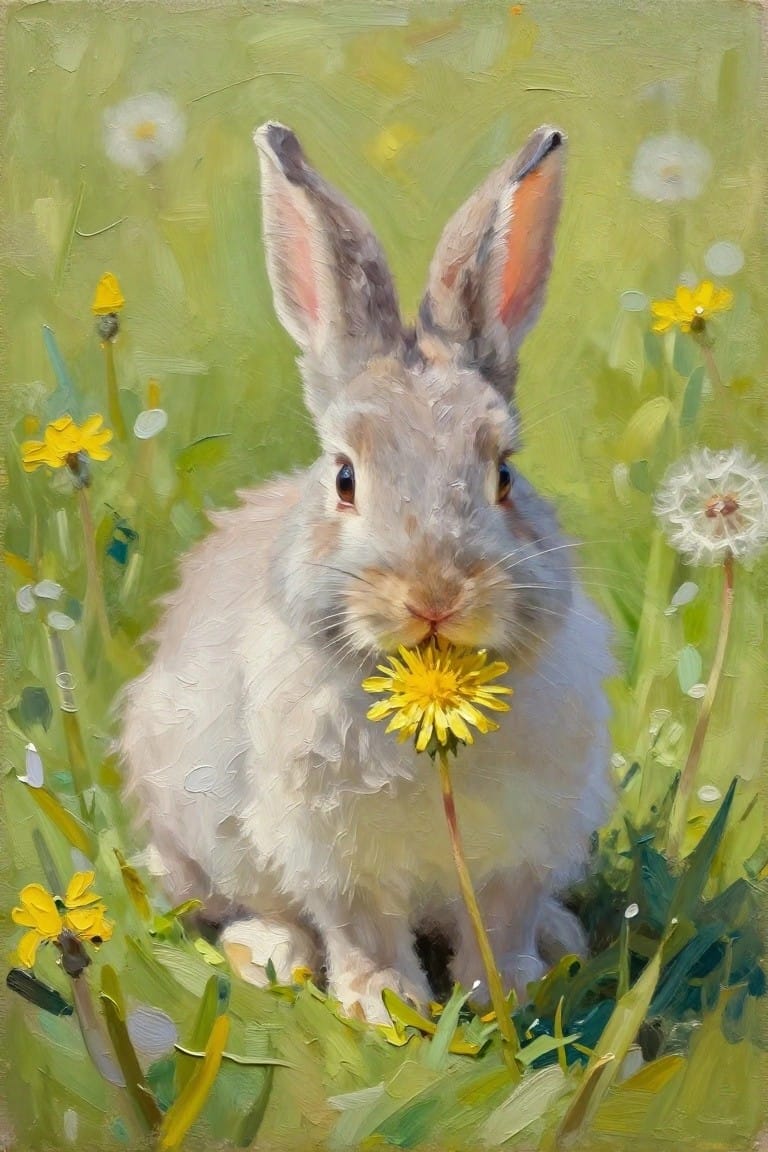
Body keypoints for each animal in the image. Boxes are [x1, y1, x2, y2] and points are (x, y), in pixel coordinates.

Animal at [119, 120, 614, 1024]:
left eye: (504, 474)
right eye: (345, 477)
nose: (434, 595)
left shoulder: (521, 849)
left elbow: (503, 920)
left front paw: (510, 990)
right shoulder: (334, 853)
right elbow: (363, 929)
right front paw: (386, 1007)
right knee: (239, 908)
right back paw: (271, 955)